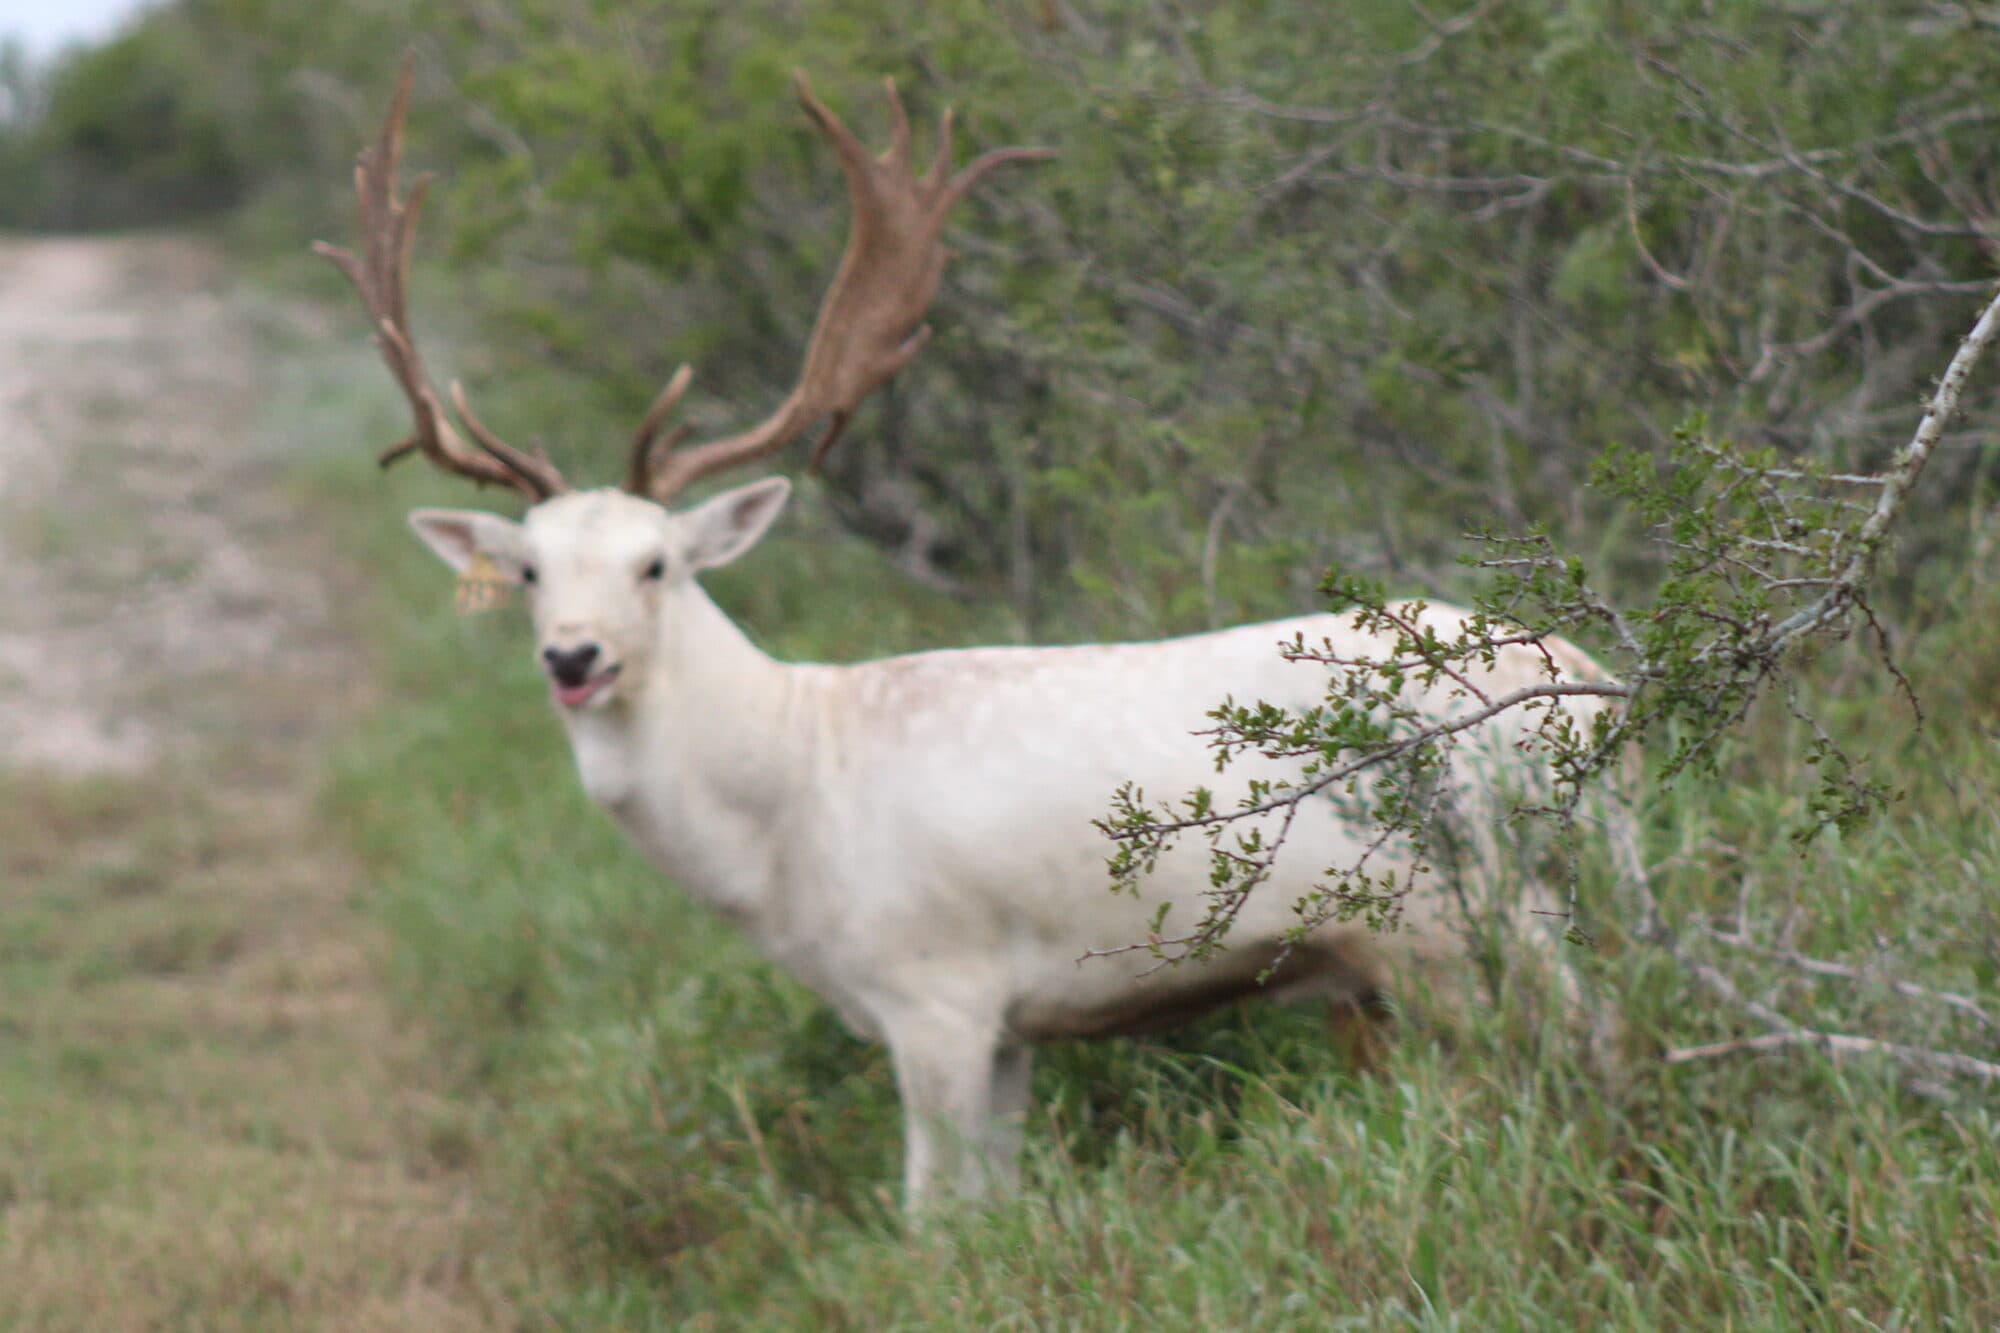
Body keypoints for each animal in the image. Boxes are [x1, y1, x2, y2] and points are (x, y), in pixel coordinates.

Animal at [320, 63, 1623, 1210]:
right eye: (530, 569)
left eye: (657, 563)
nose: (574, 658)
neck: (791, 825)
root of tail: (1597, 691)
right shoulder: (1008, 1024)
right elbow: (994, 1200)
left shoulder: (935, 984)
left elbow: (931, 1213)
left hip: (1471, 912)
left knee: (1590, 1053)